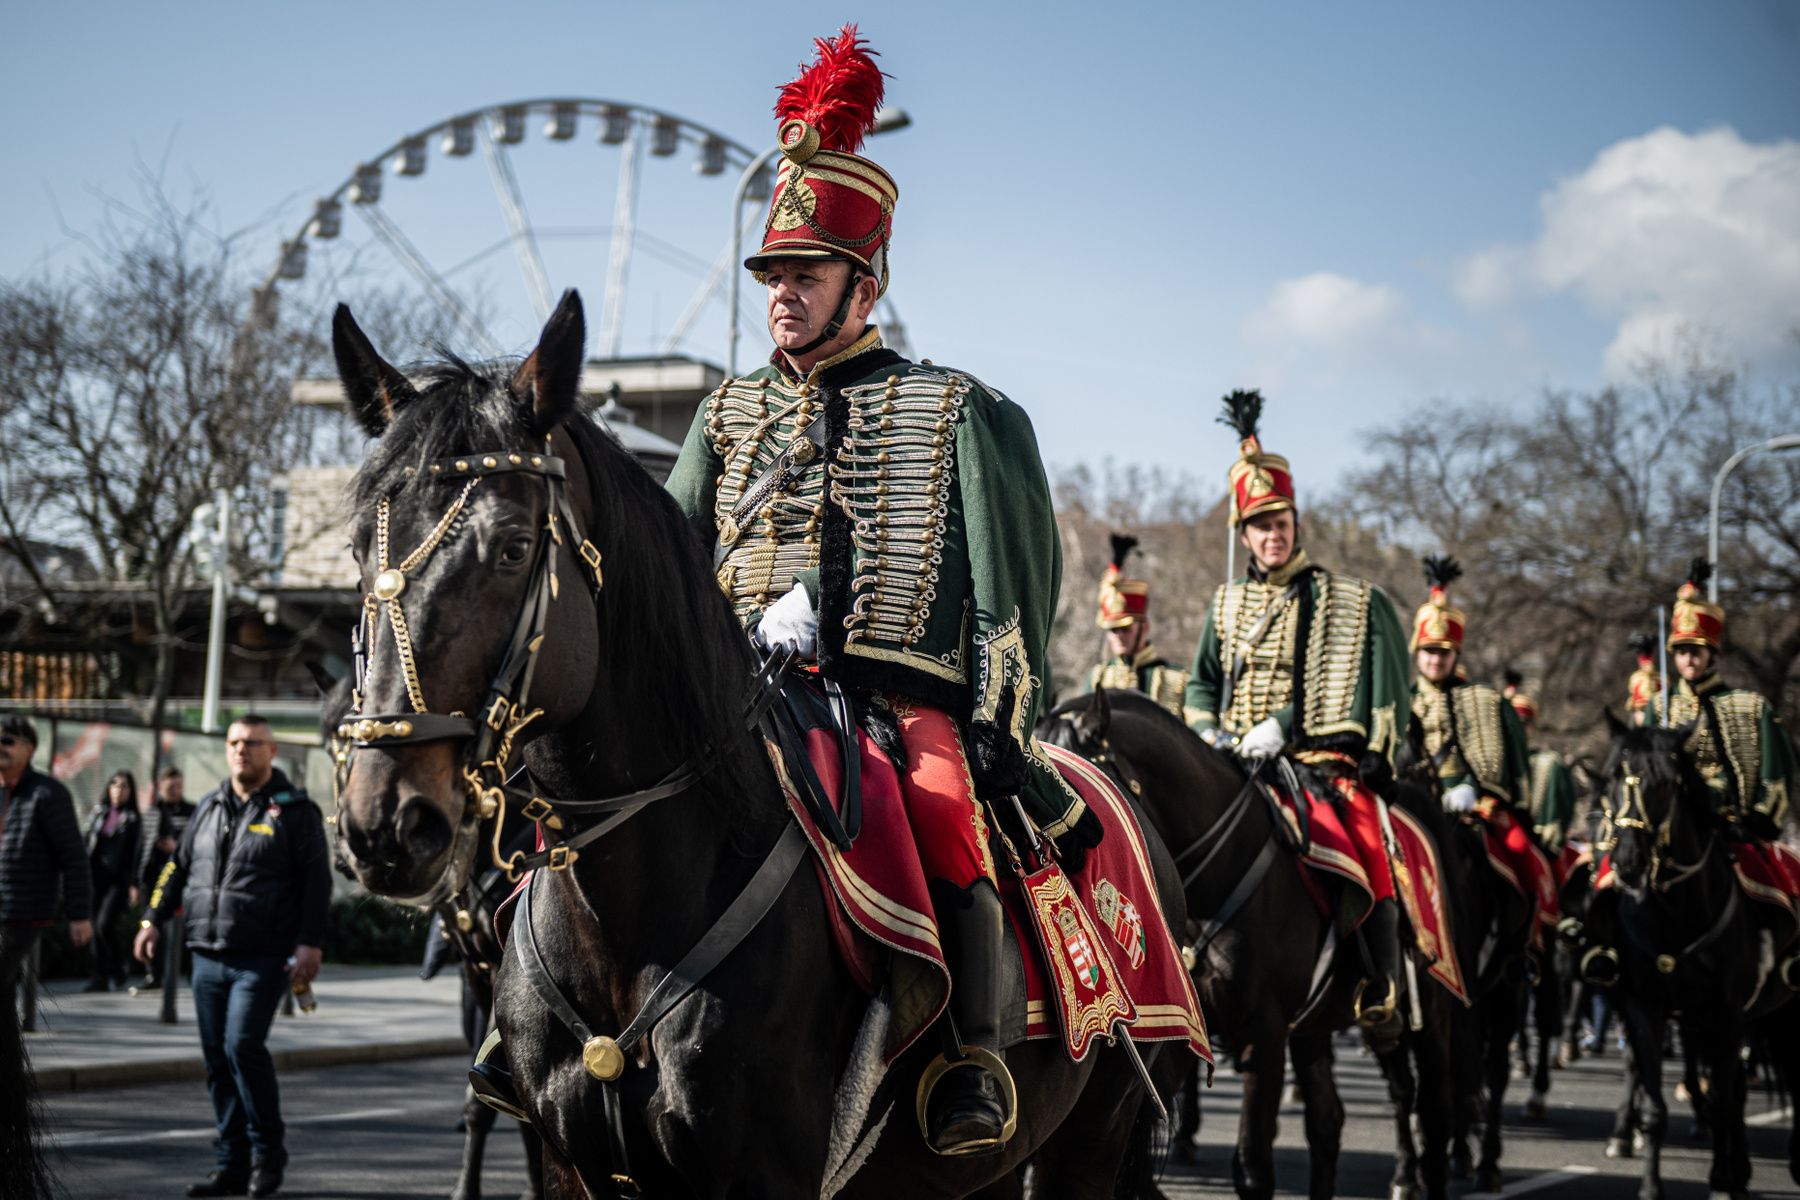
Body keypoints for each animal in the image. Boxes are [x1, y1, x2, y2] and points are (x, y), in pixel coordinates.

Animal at [331, 293, 1188, 1200]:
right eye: (357, 549)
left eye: (512, 547)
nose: (385, 824)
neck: (632, 915)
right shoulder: (571, 1166)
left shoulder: (765, 1172)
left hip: (1087, 1141)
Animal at [1044, 683, 1461, 1200]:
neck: (1218, 871)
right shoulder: (1180, 1040)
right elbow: (1138, 1165)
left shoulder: (1263, 1036)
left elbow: (1253, 1169)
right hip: (1313, 1028)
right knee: (1328, 1120)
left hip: (1433, 1016)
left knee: (1434, 1112)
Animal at [1591, 712, 1756, 1200]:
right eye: (1613, 778)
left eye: (1666, 783)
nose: (1627, 862)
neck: (1674, 914)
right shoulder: (1644, 1006)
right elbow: (1655, 1106)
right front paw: (1650, 1185)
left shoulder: (1726, 1014)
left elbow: (1725, 1099)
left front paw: (1725, 1180)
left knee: (1731, 1092)